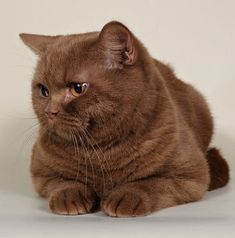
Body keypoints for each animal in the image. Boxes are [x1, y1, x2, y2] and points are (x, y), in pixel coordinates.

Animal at [19, 21, 229, 217]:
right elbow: (64, 182)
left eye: (77, 88)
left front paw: (125, 197)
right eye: (43, 90)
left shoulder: (191, 175)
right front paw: (69, 197)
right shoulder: (40, 172)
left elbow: (150, 183)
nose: (50, 111)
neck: (100, 152)